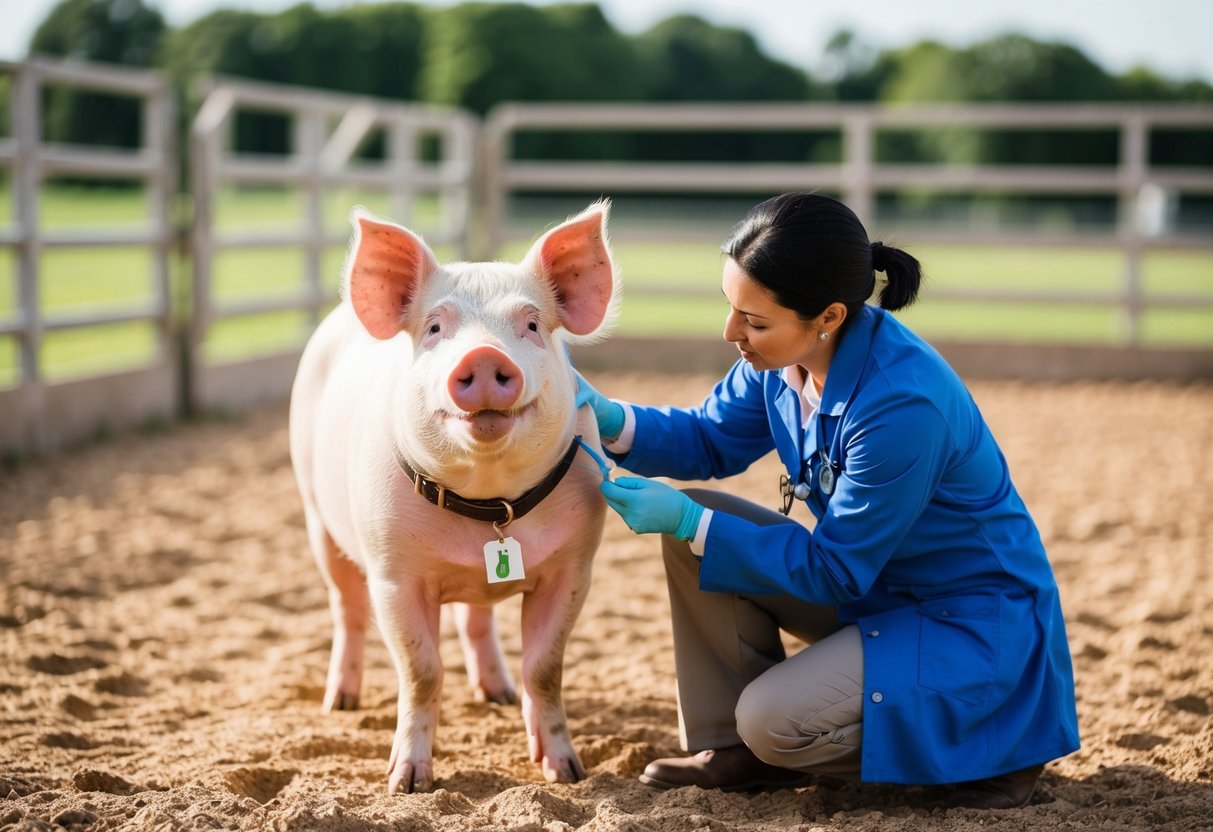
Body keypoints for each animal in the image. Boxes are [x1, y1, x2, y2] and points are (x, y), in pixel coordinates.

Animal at [288, 201, 617, 793]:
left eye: (532, 324)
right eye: (435, 327)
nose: (484, 356)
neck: (487, 507)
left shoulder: (575, 565)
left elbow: (545, 668)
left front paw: (567, 773)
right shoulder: (393, 573)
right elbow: (422, 671)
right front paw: (407, 785)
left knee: (476, 619)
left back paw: (498, 694)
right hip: (316, 516)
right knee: (346, 609)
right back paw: (340, 703)